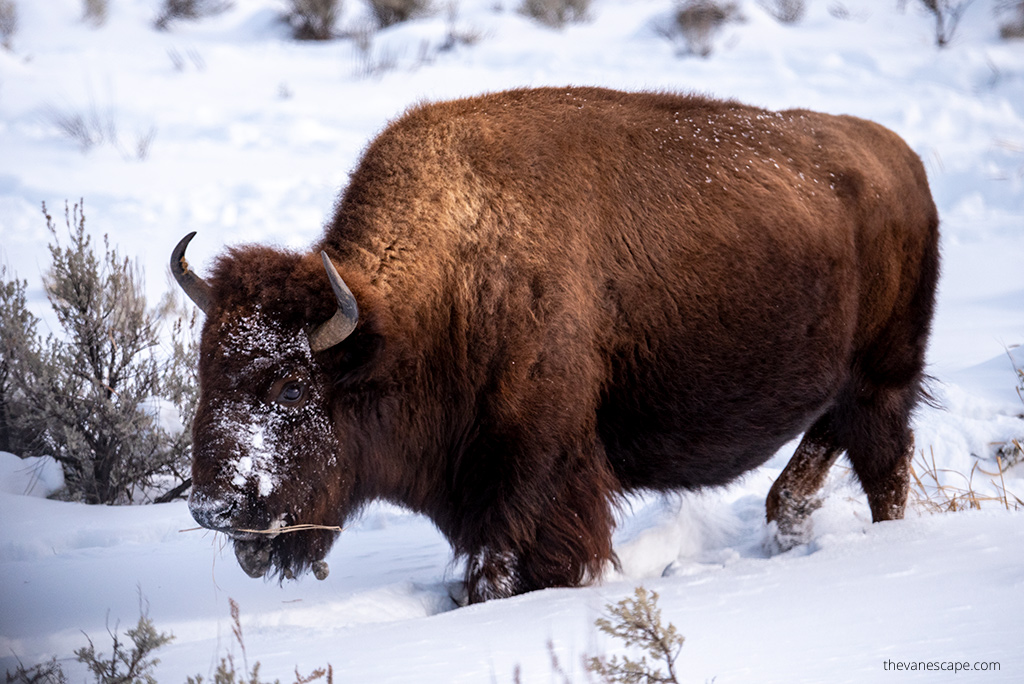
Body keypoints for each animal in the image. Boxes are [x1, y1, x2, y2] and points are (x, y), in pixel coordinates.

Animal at [172, 87, 937, 602]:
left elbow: (513, 568)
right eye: (206, 372)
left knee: (884, 466)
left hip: (883, 378)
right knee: (819, 454)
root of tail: (901, 158)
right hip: (846, 384)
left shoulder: (536, 475)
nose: (213, 507)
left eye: (291, 384)